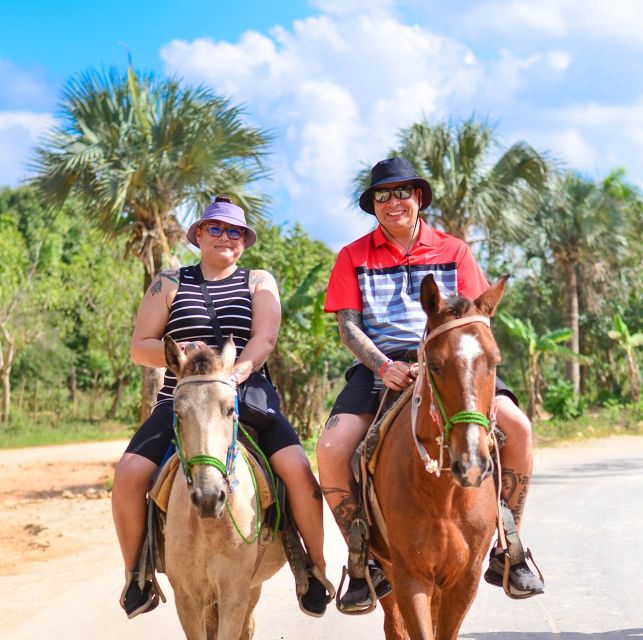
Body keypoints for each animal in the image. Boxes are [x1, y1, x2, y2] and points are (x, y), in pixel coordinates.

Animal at [164, 338, 284, 636]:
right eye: (177, 413)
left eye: (230, 409)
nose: (208, 498)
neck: (209, 527)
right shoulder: (187, 597)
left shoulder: (235, 593)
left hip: (251, 586)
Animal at [370, 272, 510, 636]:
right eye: (434, 365)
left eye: (494, 362)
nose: (472, 465)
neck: (443, 496)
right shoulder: (410, 576)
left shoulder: (464, 579)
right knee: (394, 625)